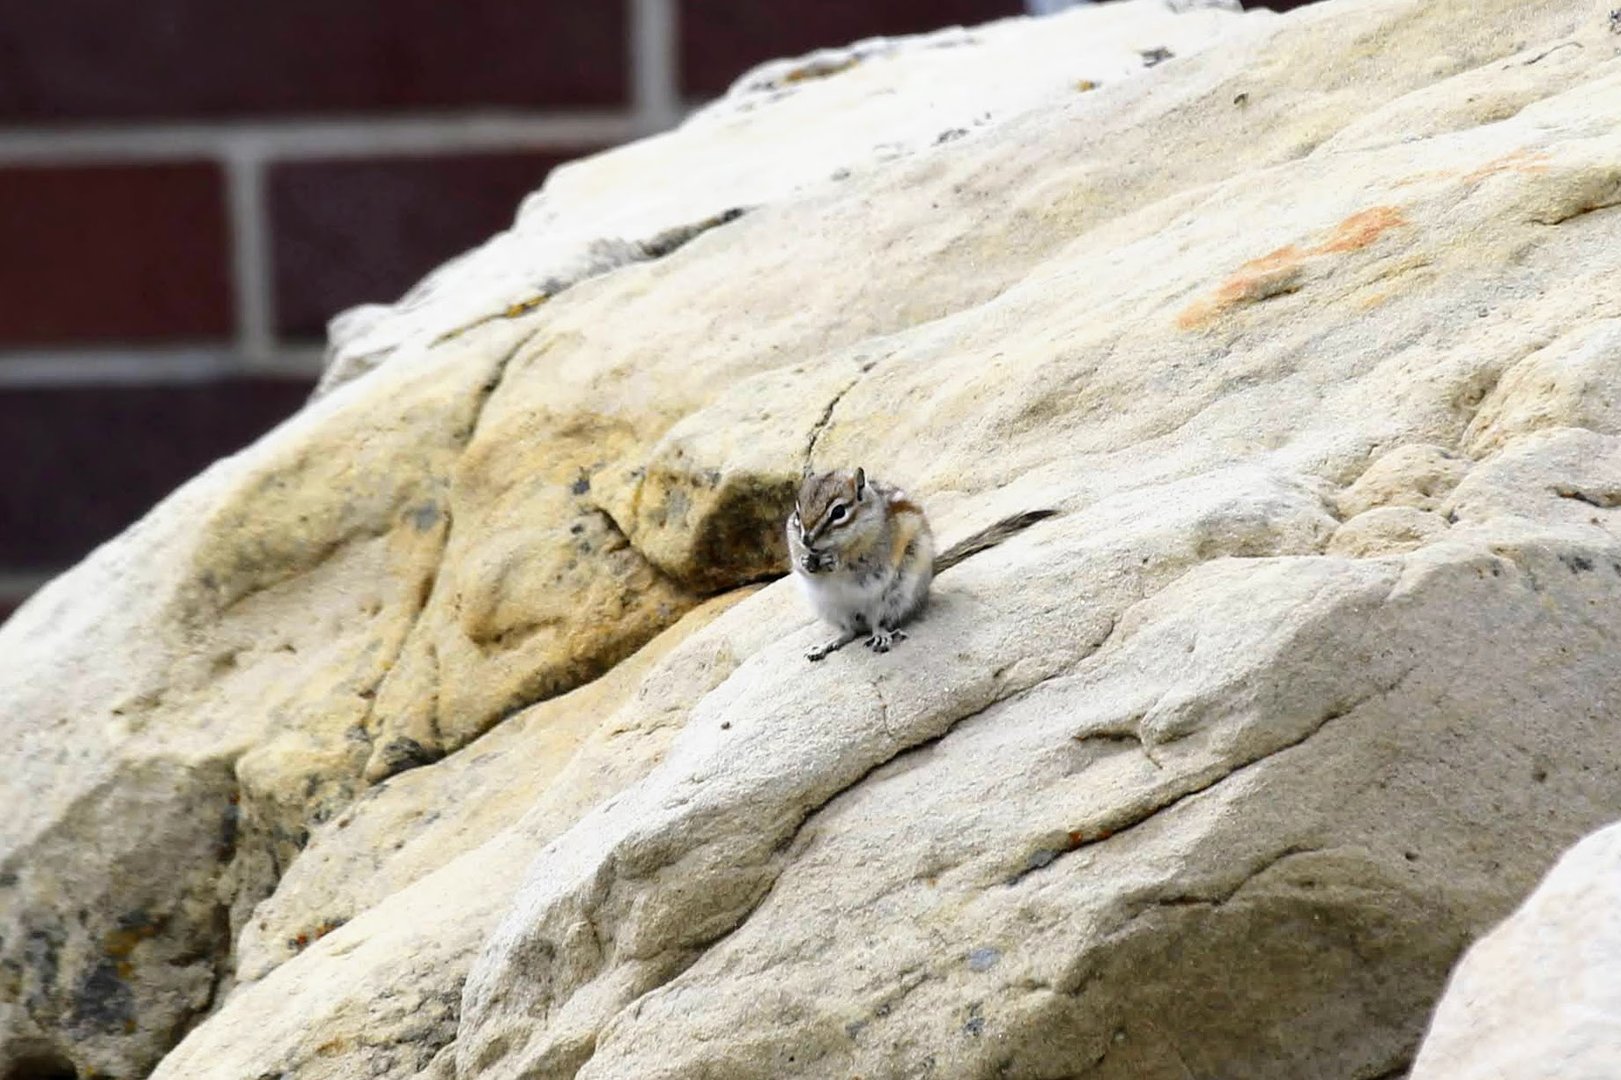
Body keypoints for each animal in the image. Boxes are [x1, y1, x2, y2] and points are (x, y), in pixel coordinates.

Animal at [787, 467, 1056, 661]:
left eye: (838, 512)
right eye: (797, 515)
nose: (807, 540)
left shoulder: (878, 553)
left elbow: (858, 564)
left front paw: (834, 561)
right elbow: (801, 565)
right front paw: (806, 561)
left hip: (894, 596)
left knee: (877, 623)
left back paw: (882, 635)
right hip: (829, 606)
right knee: (848, 631)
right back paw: (825, 646)